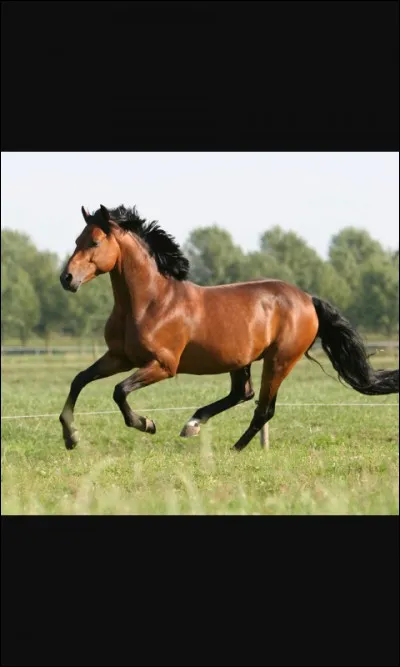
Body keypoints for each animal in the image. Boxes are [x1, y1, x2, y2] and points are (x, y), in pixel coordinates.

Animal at [59, 204, 399, 452]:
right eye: (76, 241)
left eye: (95, 242)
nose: (67, 278)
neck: (150, 302)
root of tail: (307, 299)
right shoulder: (119, 357)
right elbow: (79, 380)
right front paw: (70, 437)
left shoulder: (163, 365)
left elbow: (119, 391)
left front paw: (146, 424)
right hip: (241, 360)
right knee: (243, 394)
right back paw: (193, 424)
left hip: (279, 360)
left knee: (263, 409)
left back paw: (234, 448)